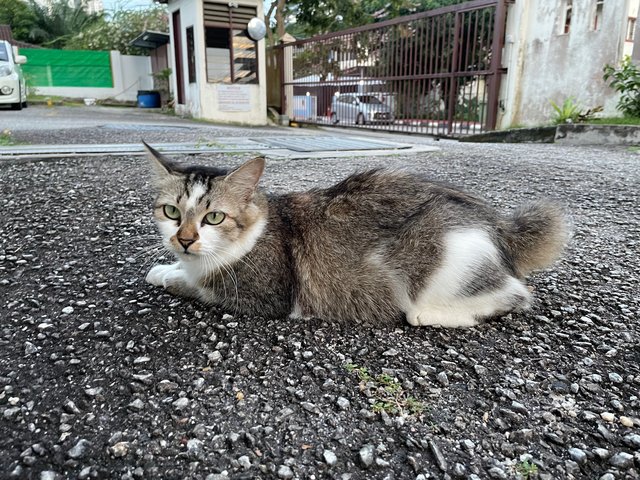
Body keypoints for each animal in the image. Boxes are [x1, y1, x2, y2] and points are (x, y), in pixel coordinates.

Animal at [142, 142, 568, 326]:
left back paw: (429, 315)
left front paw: (170, 276)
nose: (185, 239)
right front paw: (167, 266)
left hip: (438, 260)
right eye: (171, 212)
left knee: (515, 294)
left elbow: (197, 287)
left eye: (214, 217)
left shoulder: (265, 295)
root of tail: (498, 222)